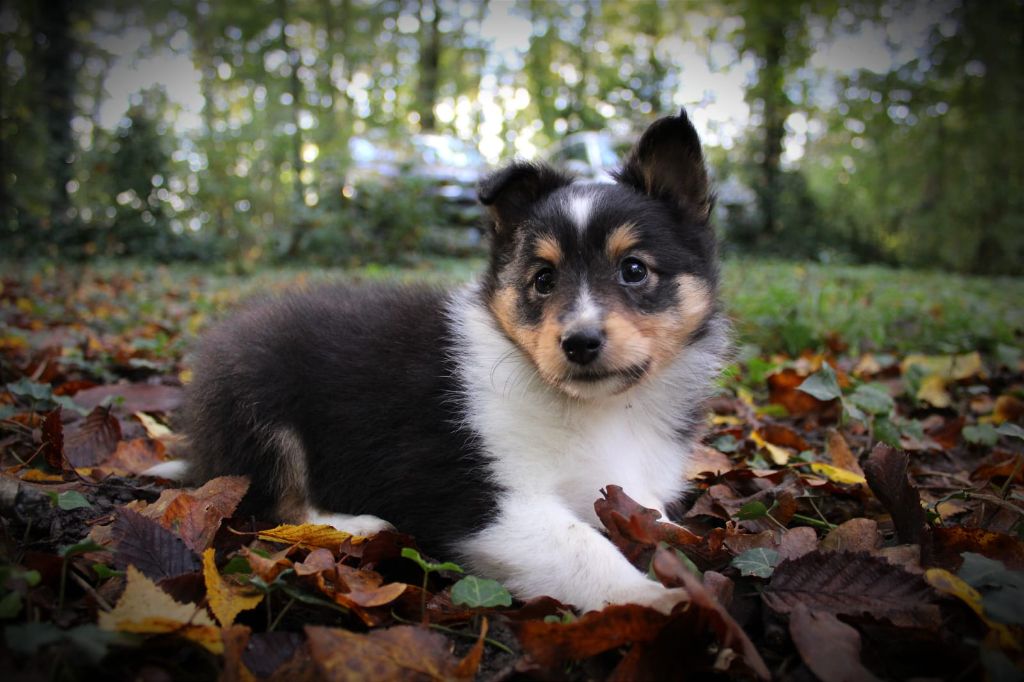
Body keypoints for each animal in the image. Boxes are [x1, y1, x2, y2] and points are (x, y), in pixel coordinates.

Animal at [180, 107, 733, 610]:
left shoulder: (625, 487)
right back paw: (356, 525)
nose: (579, 343)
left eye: (634, 269)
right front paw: (661, 600)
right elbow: (582, 549)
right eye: (543, 279)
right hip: (257, 398)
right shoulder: (482, 502)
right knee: (278, 505)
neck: (599, 409)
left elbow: (654, 520)